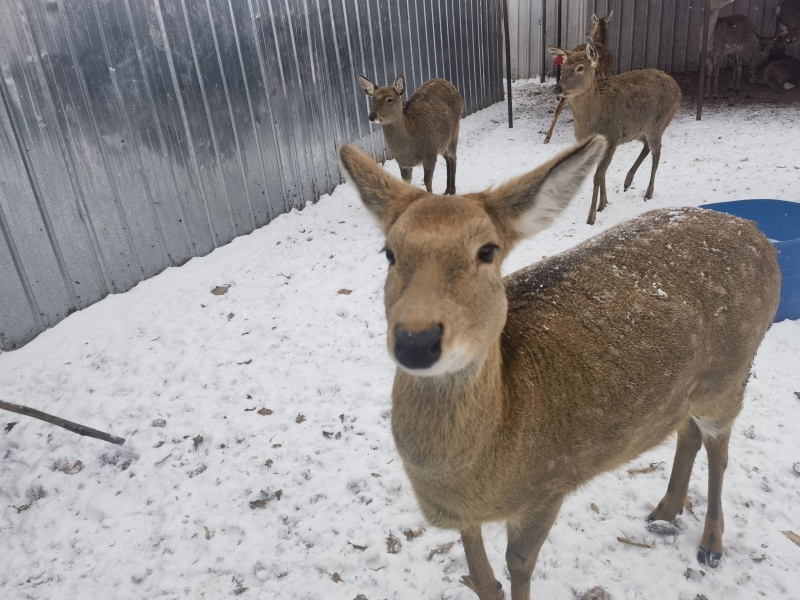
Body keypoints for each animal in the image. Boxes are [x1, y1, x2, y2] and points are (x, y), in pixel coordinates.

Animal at [337, 136, 782, 600]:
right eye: (389, 252)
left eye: (487, 250)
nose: (416, 340)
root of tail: (758, 235)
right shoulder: (465, 515)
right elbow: (483, 579)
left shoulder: (548, 488)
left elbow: (518, 564)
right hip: (688, 393)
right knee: (687, 432)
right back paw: (664, 510)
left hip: (732, 372)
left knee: (720, 446)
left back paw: (711, 544)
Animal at [549, 42, 682, 225]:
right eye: (563, 67)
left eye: (580, 68)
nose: (557, 88)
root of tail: (678, 87)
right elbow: (603, 173)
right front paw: (603, 203)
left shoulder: (612, 138)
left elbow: (598, 175)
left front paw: (591, 216)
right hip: (637, 129)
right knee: (647, 146)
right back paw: (627, 181)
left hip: (658, 123)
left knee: (657, 152)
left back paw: (648, 192)